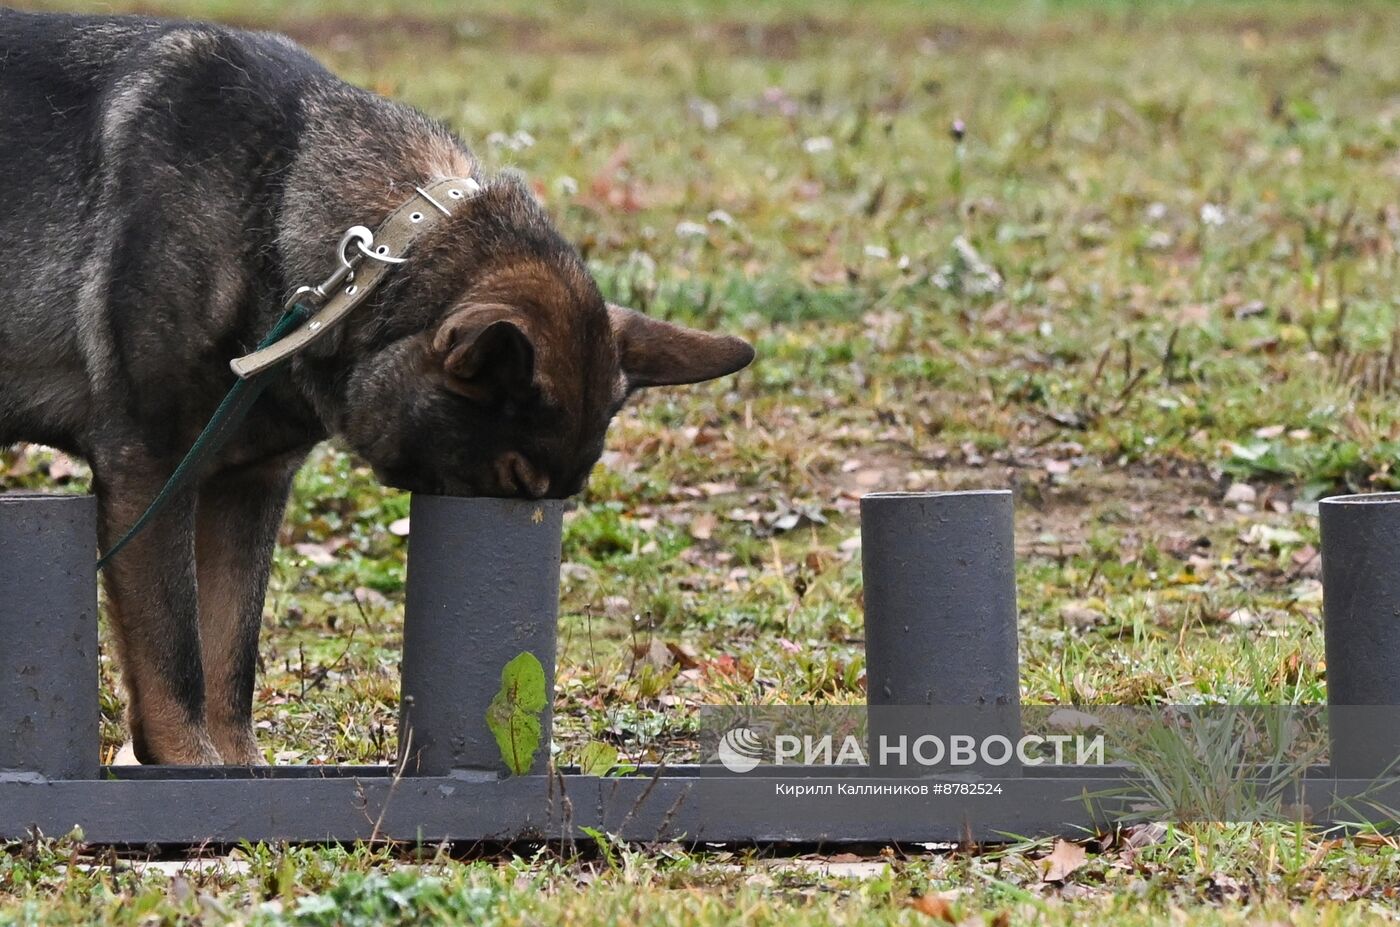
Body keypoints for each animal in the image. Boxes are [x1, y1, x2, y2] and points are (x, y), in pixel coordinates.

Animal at [0, 10, 756, 767]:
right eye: (514, 480)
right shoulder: (151, 473)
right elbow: (178, 658)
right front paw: (190, 766)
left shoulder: (246, 489)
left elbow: (229, 661)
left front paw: (237, 772)